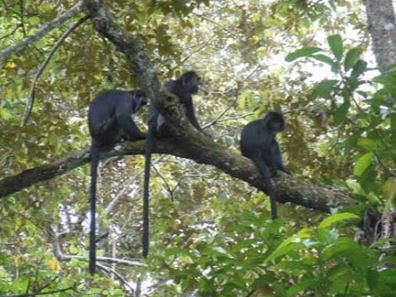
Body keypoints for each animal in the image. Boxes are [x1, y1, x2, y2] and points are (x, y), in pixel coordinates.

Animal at [87, 89, 148, 274]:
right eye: (142, 102)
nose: (138, 108)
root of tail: (95, 138)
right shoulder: (125, 100)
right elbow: (122, 115)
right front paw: (141, 135)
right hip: (107, 131)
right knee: (118, 119)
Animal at [142, 71, 201, 256]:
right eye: (197, 80)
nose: (199, 85)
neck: (181, 88)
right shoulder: (168, 88)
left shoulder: (188, 96)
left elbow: (192, 119)